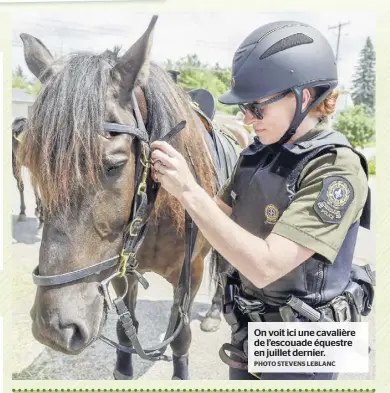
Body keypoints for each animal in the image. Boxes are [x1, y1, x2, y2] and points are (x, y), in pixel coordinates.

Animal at [17, 16, 238, 380]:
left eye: (114, 165)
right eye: (34, 165)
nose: (54, 328)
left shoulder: (189, 273)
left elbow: (181, 336)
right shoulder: (121, 266)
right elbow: (126, 326)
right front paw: (123, 368)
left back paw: (214, 314)